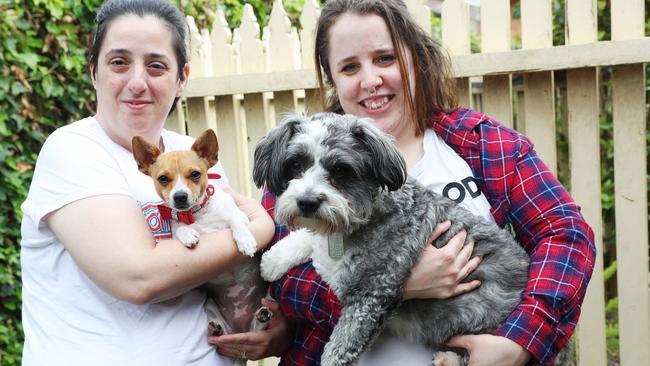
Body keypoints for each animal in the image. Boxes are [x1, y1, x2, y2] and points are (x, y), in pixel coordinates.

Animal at [132, 129, 270, 354]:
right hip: (211, 307)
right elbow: (179, 229)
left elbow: (235, 221)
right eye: (163, 178)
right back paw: (218, 328)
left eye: (195, 174)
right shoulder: (176, 227)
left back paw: (263, 316)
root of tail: (240, 326)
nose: (179, 196)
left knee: (261, 326)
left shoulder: (242, 216)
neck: (196, 216)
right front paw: (188, 235)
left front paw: (245, 240)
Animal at [251, 112, 528, 366]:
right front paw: (274, 260)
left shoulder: (369, 299)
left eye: (341, 170)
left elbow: (337, 351)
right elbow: (308, 239)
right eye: (296, 164)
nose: (307, 202)